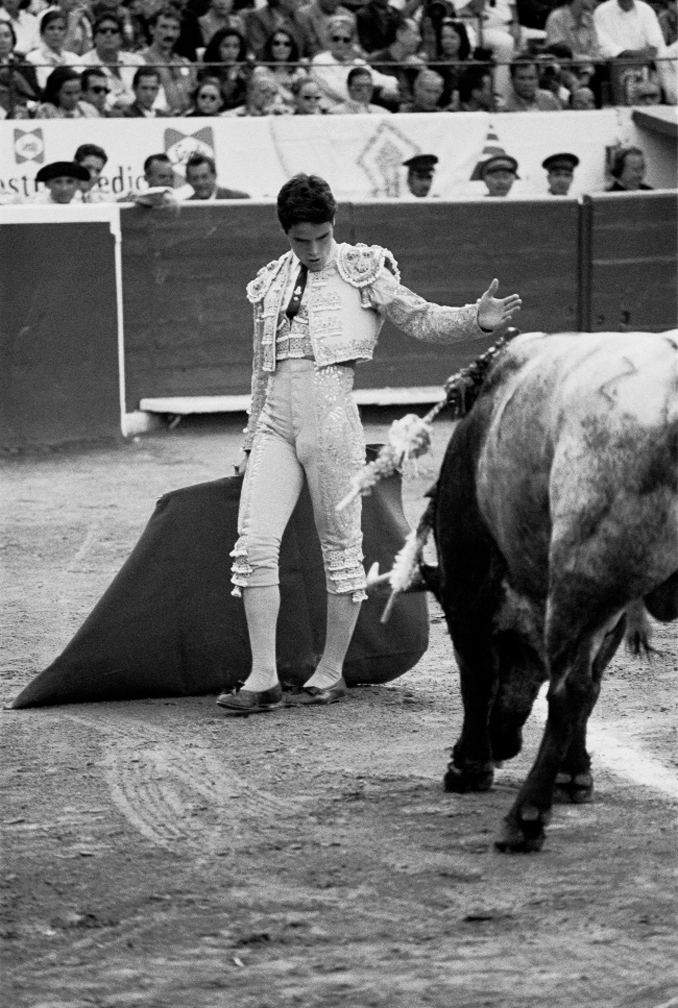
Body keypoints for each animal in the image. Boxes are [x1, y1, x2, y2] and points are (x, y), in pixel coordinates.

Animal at [417, 330, 676, 850]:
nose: (503, 744)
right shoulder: (612, 605)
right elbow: (595, 681)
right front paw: (574, 775)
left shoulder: (470, 586)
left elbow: (476, 672)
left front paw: (468, 766)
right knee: (580, 687)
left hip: (584, 577)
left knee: (567, 691)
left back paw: (525, 818)